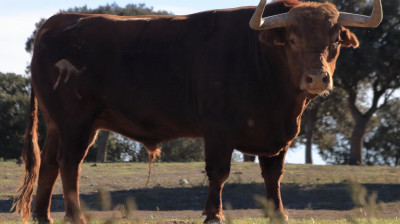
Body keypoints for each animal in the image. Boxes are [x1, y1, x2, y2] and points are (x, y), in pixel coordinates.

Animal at [13, 0, 382, 222]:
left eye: (335, 40)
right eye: (292, 39)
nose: (317, 78)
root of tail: (57, 21)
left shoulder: (278, 134)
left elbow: (273, 175)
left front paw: (279, 214)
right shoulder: (219, 128)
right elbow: (218, 172)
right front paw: (213, 214)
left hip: (58, 124)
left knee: (49, 163)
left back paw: (43, 215)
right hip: (76, 121)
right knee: (69, 164)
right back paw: (75, 216)